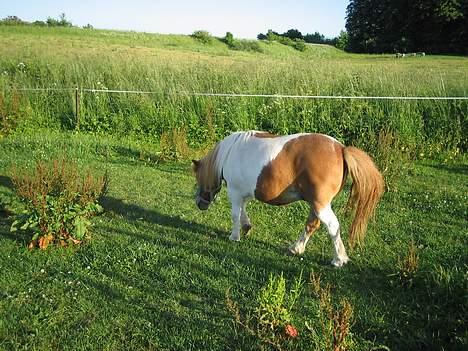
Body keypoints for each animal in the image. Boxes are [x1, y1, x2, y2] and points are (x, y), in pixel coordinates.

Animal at [191, 132, 384, 266]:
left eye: (198, 178)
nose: (200, 204)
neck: (230, 153)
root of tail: (340, 149)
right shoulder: (244, 193)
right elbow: (243, 212)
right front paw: (246, 227)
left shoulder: (235, 192)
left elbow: (235, 215)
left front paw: (234, 236)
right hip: (316, 204)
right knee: (311, 225)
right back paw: (296, 248)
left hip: (320, 205)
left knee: (332, 226)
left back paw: (339, 259)